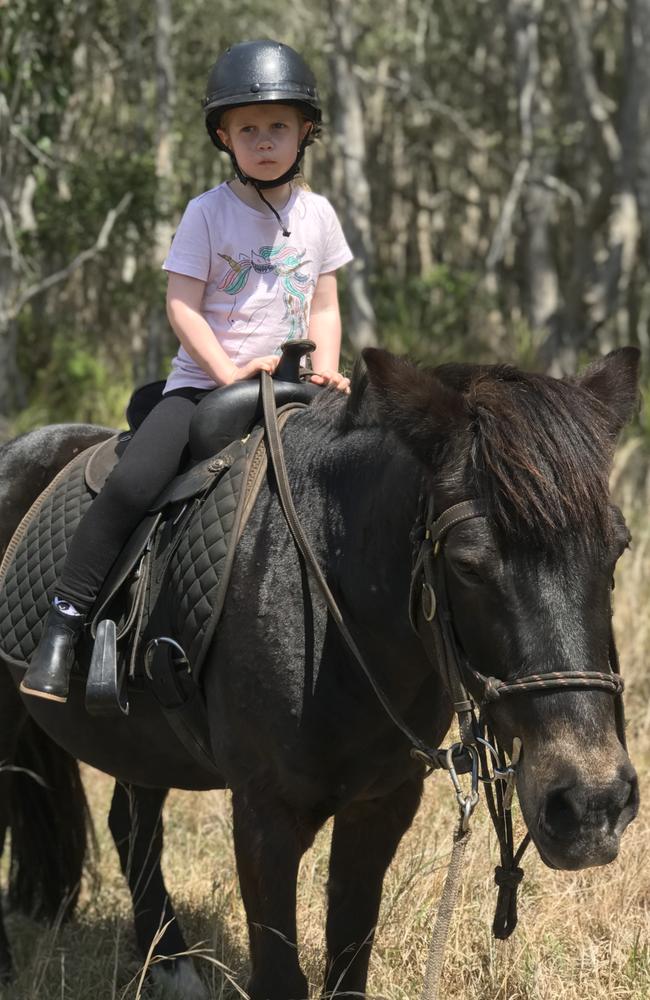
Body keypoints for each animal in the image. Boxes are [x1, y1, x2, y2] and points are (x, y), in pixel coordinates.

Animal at [0, 348, 636, 996]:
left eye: (617, 548)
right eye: (468, 564)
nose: (591, 804)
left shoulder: (382, 805)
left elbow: (349, 957)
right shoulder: (266, 816)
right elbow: (281, 974)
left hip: (142, 744)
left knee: (132, 827)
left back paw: (173, 966)